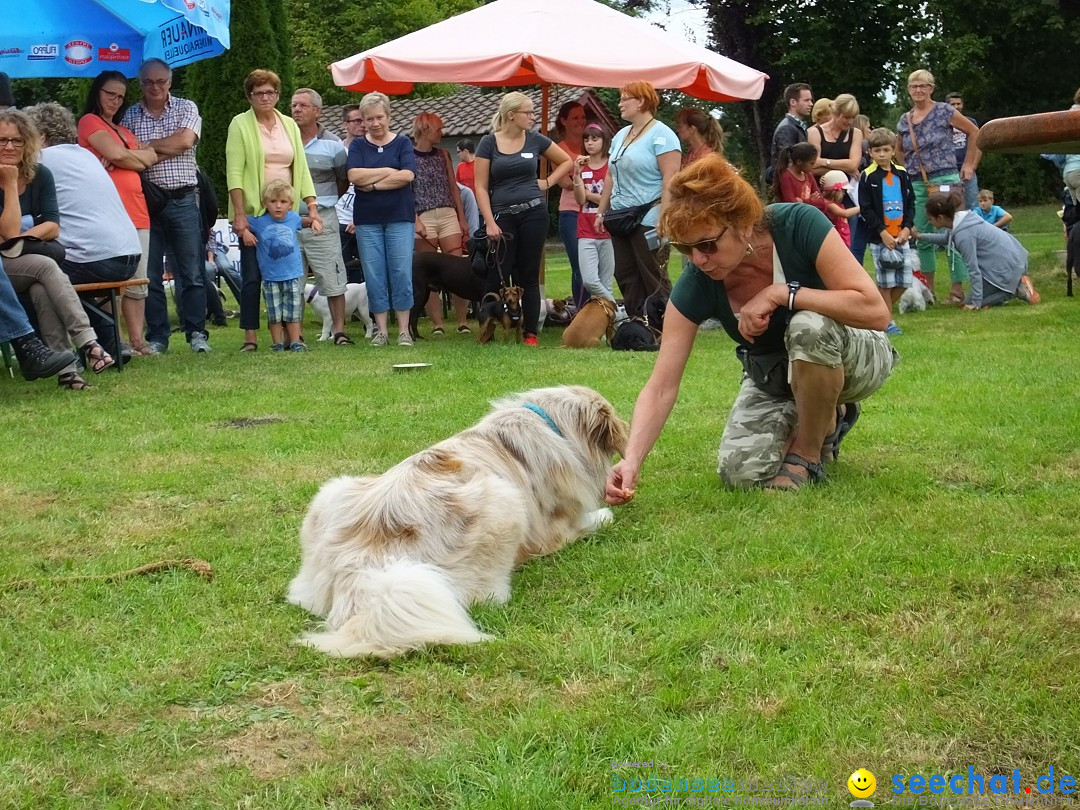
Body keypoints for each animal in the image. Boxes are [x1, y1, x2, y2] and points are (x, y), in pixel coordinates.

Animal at [287, 386, 630, 660]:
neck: (554, 425)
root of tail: (361, 563)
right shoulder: (558, 527)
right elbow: (593, 521)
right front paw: (603, 514)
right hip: (505, 501)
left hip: (331, 493)